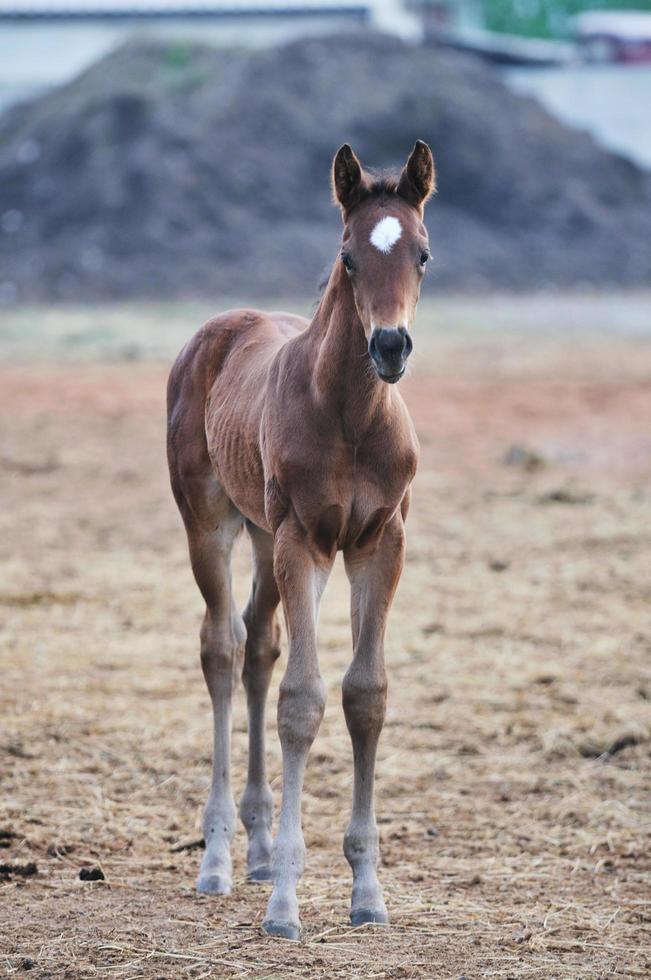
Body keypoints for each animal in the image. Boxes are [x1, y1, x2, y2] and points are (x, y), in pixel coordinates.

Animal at [166, 140, 436, 940]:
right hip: (216, 524)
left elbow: (364, 695)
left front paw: (367, 894)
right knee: (222, 650)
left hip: (262, 536)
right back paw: (221, 860)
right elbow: (302, 701)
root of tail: (222, 326)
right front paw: (286, 902)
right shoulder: (304, 542)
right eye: (348, 255)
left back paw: (254, 848)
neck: (349, 416)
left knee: (259, 644)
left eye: (421, 253)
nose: (389, 346)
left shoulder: (379, 542)